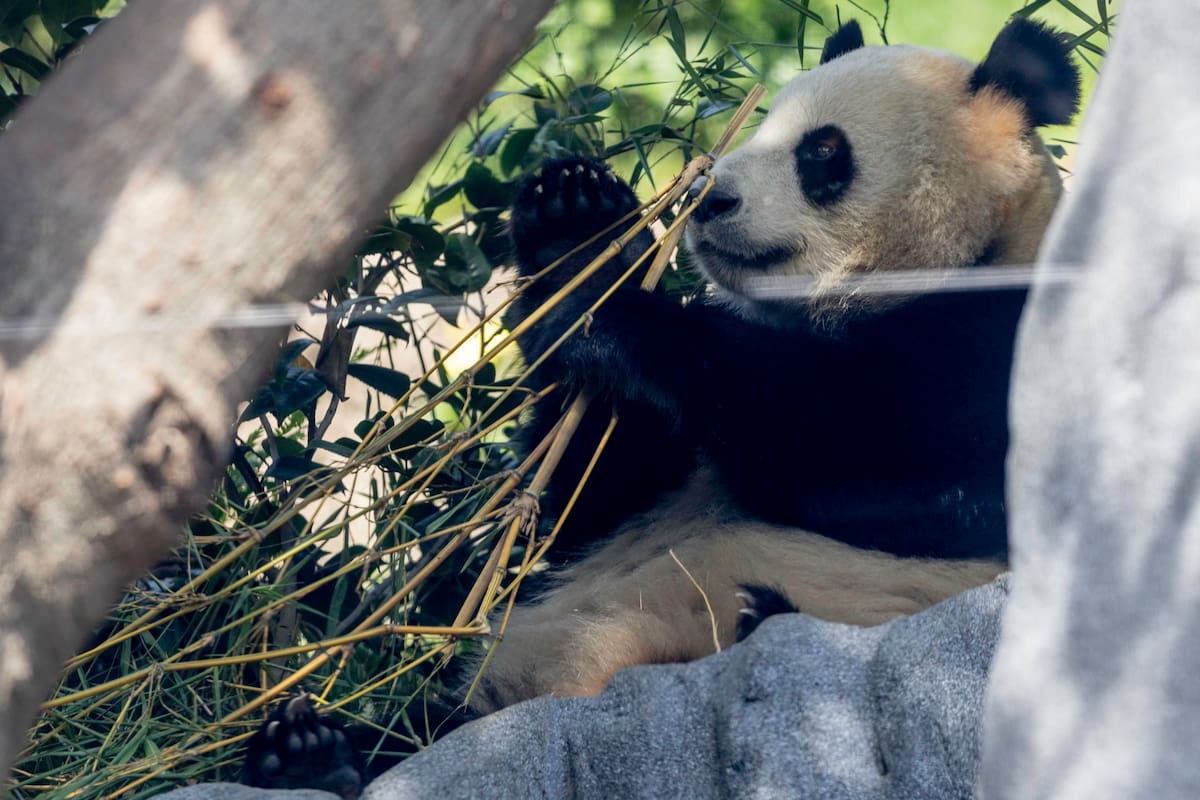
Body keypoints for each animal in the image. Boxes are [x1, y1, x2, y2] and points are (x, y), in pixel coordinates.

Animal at [242, 17, 1080, 795]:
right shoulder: (657, 466)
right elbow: (589, 504)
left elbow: (881, 462)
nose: (709, 198)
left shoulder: (1001, 339)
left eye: (822, 152)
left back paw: (760, 614)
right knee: (421, 733)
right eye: (765, 123)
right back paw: (312, 753)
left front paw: (598, 278)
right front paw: (574, 219)